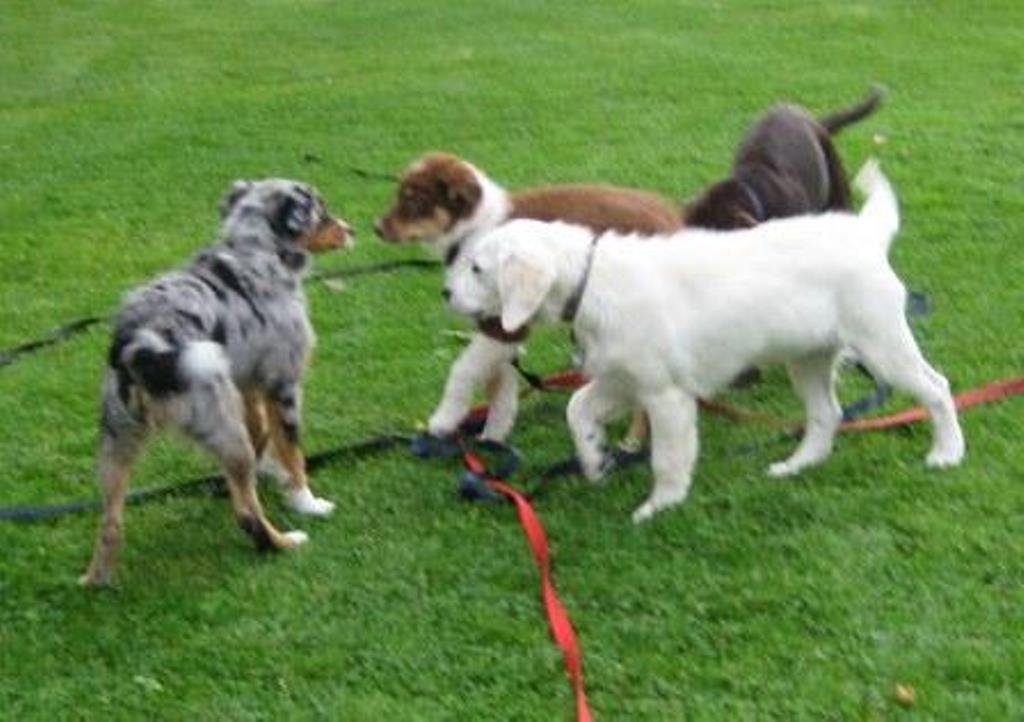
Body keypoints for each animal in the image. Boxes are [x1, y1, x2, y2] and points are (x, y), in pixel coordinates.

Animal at [79, 176, 354, 585]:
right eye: (322, 211)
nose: (352, 231)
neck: (255, 252)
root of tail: (138, 345)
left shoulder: (246, 383)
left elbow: (262, 433)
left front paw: (267, 470)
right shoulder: (283, 385)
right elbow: (293, 453)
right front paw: (306, 502)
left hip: (118, 441)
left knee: (111, 522)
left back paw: (97, 580)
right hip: (220, 424)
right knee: (246, 512)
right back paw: (285, 542)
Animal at [376, 151, 679, 442]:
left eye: (414, 200)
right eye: (399, 194)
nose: (376, 227)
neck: (473, 230)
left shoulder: (499, 324)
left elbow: (463, 370)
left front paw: (443, 420)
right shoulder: (503, 328)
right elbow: (500, 385)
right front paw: (493, 438)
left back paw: (633, 441)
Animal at [446, 161, 958, 524]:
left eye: (476, 268)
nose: (445, 293)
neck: (592, 282)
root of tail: (865, 234)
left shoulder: (665, 394)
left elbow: (668, 458)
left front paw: (661, 506)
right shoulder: (622, 378)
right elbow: (577, 408)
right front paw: (594, 459)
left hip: (882, 345)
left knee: (937, 387)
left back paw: (947, 453)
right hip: (808, 357)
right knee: (827, 415)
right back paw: (796, 466)